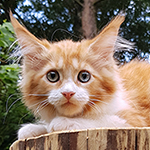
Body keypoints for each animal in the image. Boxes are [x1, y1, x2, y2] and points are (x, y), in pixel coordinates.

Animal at [10, 11, 150, 139]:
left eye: (84, 76)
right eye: (52, 76)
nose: (68, 93)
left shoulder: (135, 119)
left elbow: (102, 119)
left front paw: (62, 122)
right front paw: (35, 128)